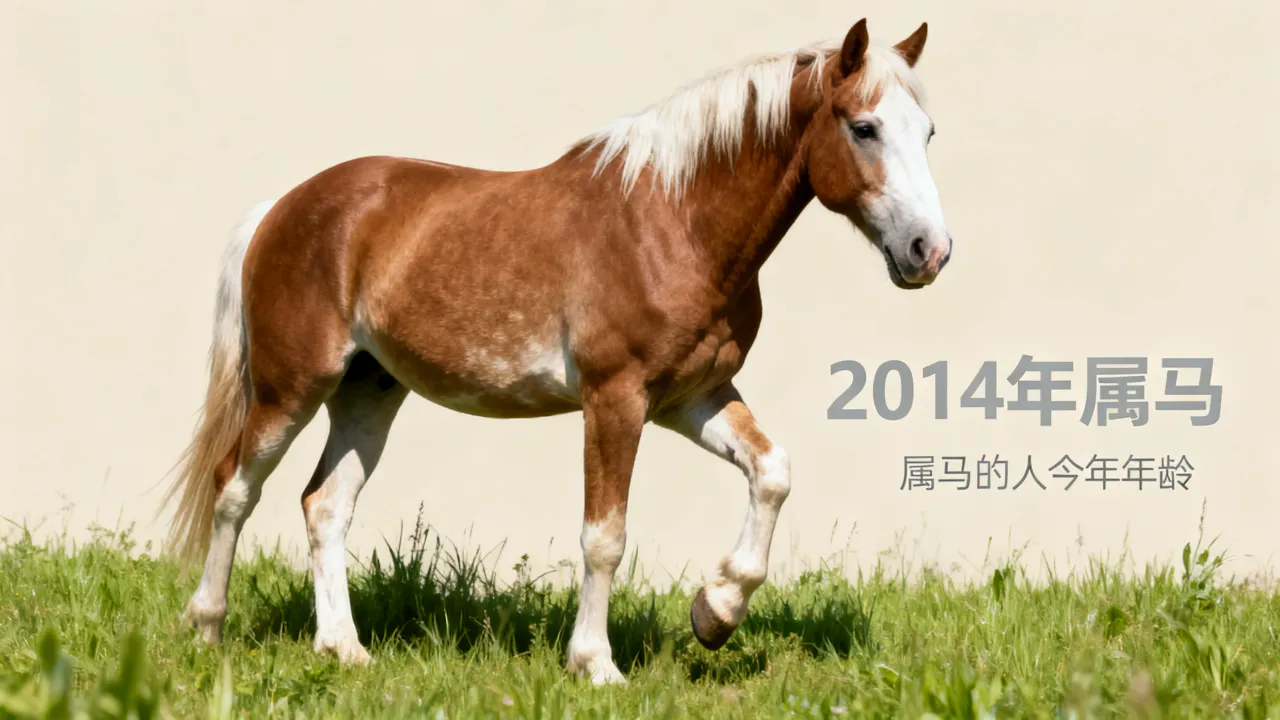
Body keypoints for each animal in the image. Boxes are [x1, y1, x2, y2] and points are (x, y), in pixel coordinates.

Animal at [159, 17, 951, 685]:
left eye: (928, 131)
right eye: (864, 127)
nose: (930, 251)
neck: (674, 222)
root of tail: (281, 208)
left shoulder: (691, 398)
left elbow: (773, 473)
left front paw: (716, 612)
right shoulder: (615, 399)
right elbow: (605, 535)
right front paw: (595, 664)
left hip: (369, 391)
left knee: (324, 504)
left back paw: (344, 649)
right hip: (291, 388)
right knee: (235, 487)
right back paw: (206, 629)